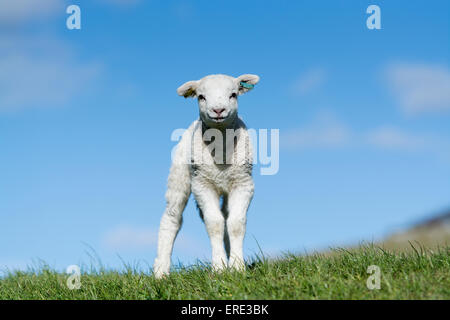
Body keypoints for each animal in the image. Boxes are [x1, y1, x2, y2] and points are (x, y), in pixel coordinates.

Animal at [154, 72, 260, 278]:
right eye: (201, 97)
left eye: (233, 94)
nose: (218, 110)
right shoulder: (202, 185)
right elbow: (214, 224)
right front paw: (219, 267)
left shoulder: (243, 183)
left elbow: (235, 224)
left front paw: (236, 266)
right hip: (180, 176)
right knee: (172, 218)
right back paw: (161, 271)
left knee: (225, 217)